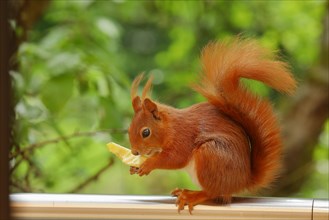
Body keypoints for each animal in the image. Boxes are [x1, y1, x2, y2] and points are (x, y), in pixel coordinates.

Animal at [127, 37, 294, 213]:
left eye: (146, 132)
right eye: (129, 129)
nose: (135, 152)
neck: (170, 127)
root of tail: (243, 181)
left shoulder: (182, 138)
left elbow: (174, 159)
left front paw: (148, 164)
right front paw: (135, 167)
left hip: (211, 155)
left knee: (213, 193)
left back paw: (192, 195)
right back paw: (185, 191)